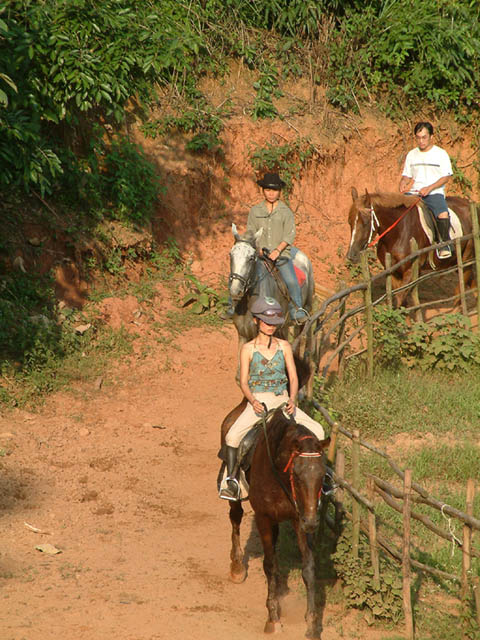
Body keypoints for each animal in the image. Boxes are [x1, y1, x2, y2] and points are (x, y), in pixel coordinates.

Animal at [221, 400, 330, 636]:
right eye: (297, 475)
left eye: (321, 475)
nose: (312, 523)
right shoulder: (263, 517)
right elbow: (268, 564)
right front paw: (272, 618)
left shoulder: (299, 518)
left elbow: (308, 568)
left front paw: (311, 624)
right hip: (237, 498)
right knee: (235, 518)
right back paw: (237, 566)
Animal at [344, 188, 476, 304]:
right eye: (349, 222)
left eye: (366, 223)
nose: (352, 255)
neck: (398, 233)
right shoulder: (394, 273)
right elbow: (402, 302)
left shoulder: (411, 271)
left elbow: (400, 299)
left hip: (466, 260)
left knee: (460, 290)